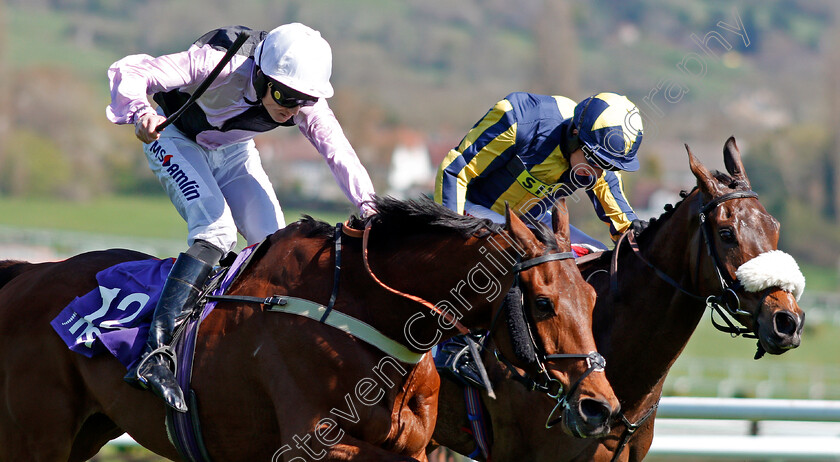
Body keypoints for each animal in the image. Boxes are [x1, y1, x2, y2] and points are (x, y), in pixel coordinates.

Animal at [0, 196, 616, 462]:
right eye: (542, 303)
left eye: (590, 296)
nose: (599, 407)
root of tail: (26, 273)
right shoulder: (317, 445)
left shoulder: (416, 445)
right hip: (37, 435)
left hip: (85, 431)